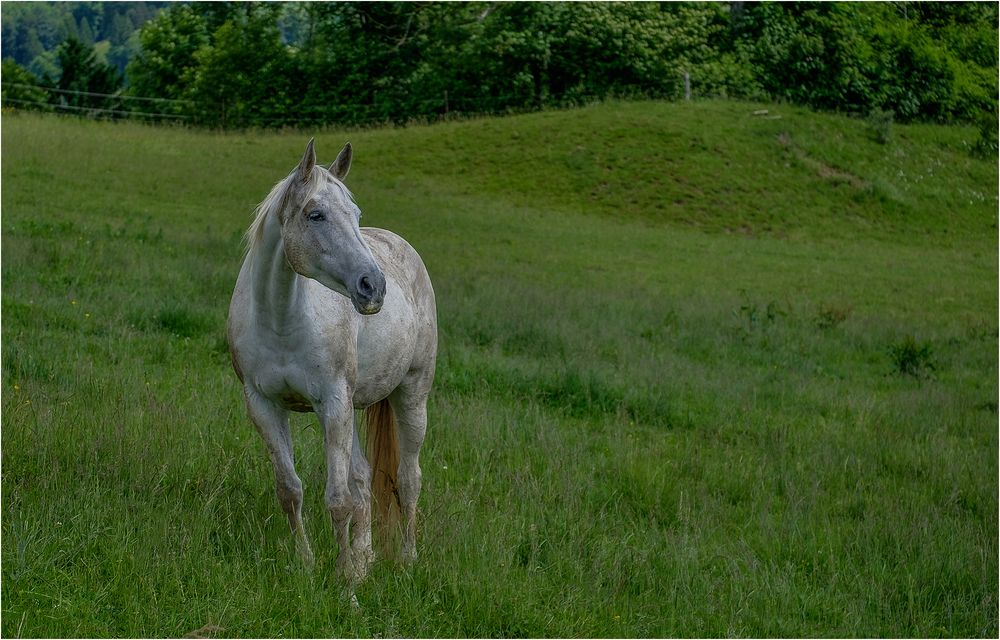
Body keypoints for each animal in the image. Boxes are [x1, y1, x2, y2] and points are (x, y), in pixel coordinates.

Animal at [229, 140, 436, 584]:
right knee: (363, 478)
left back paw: (407, 560)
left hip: (411, 395)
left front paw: (344, 583)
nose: (373, 286)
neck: (283, 320)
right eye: (316, 214)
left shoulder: (333, 404)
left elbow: (338, 499)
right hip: (354, 407)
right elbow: (291, 490)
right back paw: (365, 559)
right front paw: (308, 565)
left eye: (356, 215)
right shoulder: (263, 405)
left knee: (408, 478)